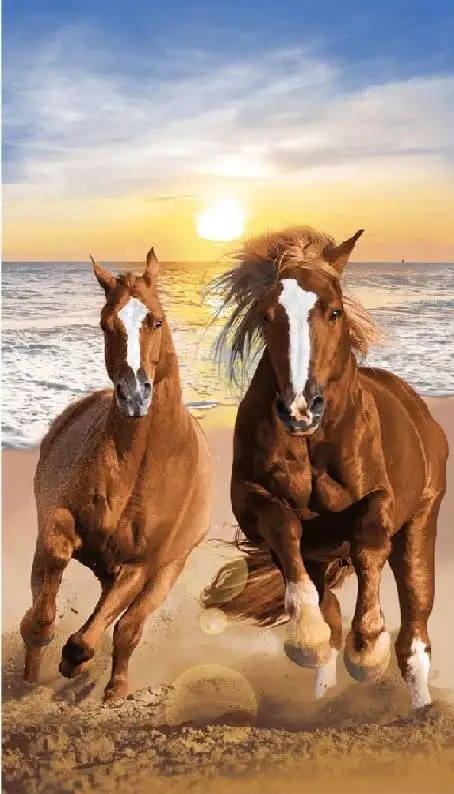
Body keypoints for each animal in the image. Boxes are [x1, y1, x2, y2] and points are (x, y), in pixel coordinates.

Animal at [20, 248, 212, 703]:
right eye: (106, 324)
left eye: (156, 320)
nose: (135, 395)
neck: (135, 468)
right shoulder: (58, 521)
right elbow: (52, 571)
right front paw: (42, 639)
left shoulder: (141, 564)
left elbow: (110, 630)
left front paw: (76, 661)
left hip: (170, 568)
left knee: (128, 628)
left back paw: (113, 690)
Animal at [204, 226, 448, 709]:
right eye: (266, 315)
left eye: (334, 312)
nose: (300, 408)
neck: (313, 443)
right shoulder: (255, 505)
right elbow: (284, 530)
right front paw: (307, 638)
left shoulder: (380, 502)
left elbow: (369, 542)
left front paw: (368, 650)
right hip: (323, 555)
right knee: (331, 610)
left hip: (420, 526)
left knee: (414, 634)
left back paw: (420, 707)